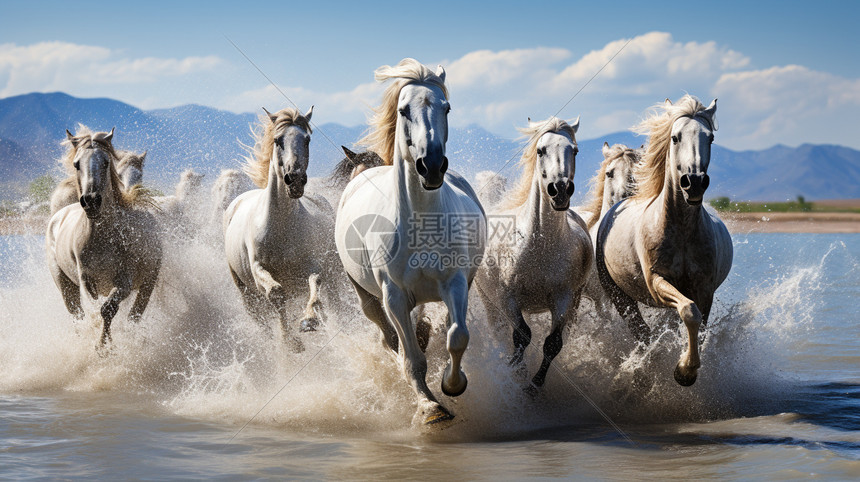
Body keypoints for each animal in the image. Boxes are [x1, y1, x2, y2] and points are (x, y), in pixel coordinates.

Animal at [45, 127, 161, 346]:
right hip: (63, 283)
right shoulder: (86, 282)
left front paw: (104, 346)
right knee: (77, 315)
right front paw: (101, 342)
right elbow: (94, 310)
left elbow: (107, 309)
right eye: (77, 163)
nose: (91, 201)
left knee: (134, 315)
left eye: (106, 162)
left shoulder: (125, 281)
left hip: (148, 282)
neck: (102, 239)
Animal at [334, 58, 488, 424]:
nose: (431, 166)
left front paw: (452, 384)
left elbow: (457, 336)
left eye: (447, 107)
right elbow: (412, 359)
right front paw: (430, 408)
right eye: (404, 109)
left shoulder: (455, 283)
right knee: (389, 338)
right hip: (366, 295)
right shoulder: (394, 297)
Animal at [474, 116, 596, 392]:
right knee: (500, 333)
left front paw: (533, 385)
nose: (560, 189)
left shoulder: (563, 300)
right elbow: (521, 336)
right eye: (541, 150)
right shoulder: (507, 299)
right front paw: (516, 373)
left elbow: (552, 343)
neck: (539, 246)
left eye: (574, 150)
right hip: (489, 302)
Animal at [596, 96, 732, 386]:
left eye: (710, 137)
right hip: (618, 295)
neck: (681, 230)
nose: (694, 182)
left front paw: (686, 367)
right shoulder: (657, 282)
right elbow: (689, 312)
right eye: (675, 137)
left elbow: (697, 323)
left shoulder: (704, 288)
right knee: (642, 333)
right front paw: (684, 371)